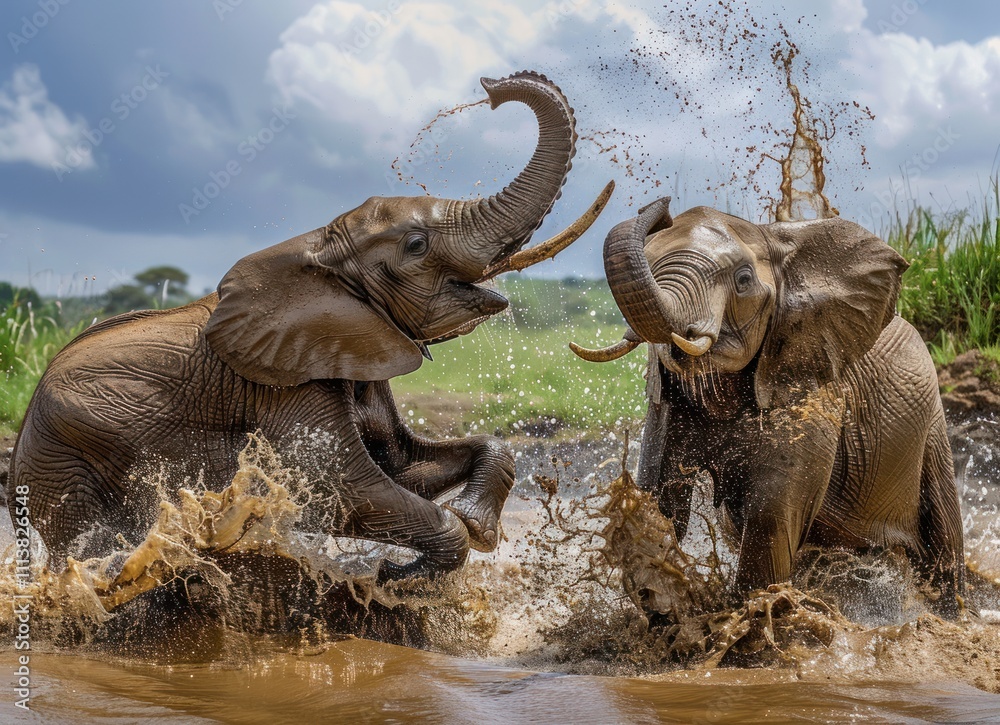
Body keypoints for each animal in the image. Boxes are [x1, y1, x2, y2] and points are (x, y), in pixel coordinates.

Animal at [10, 71, 613, 582]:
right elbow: (343, 487)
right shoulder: (286, 389)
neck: (320, 248)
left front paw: (476, 527)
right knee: (90, 546)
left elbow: (407, 465)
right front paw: (400, 575)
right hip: (66, 465)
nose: (489, 88)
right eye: (416, 245)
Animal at [572, 198, 965, 617]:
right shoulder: (666, 405)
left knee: (945, 545)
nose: (659, 205)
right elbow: (659, 501)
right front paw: (666, 609)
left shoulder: (813, 390)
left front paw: (755, 618)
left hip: (932, 431)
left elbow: (769, 515)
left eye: (743, 280)